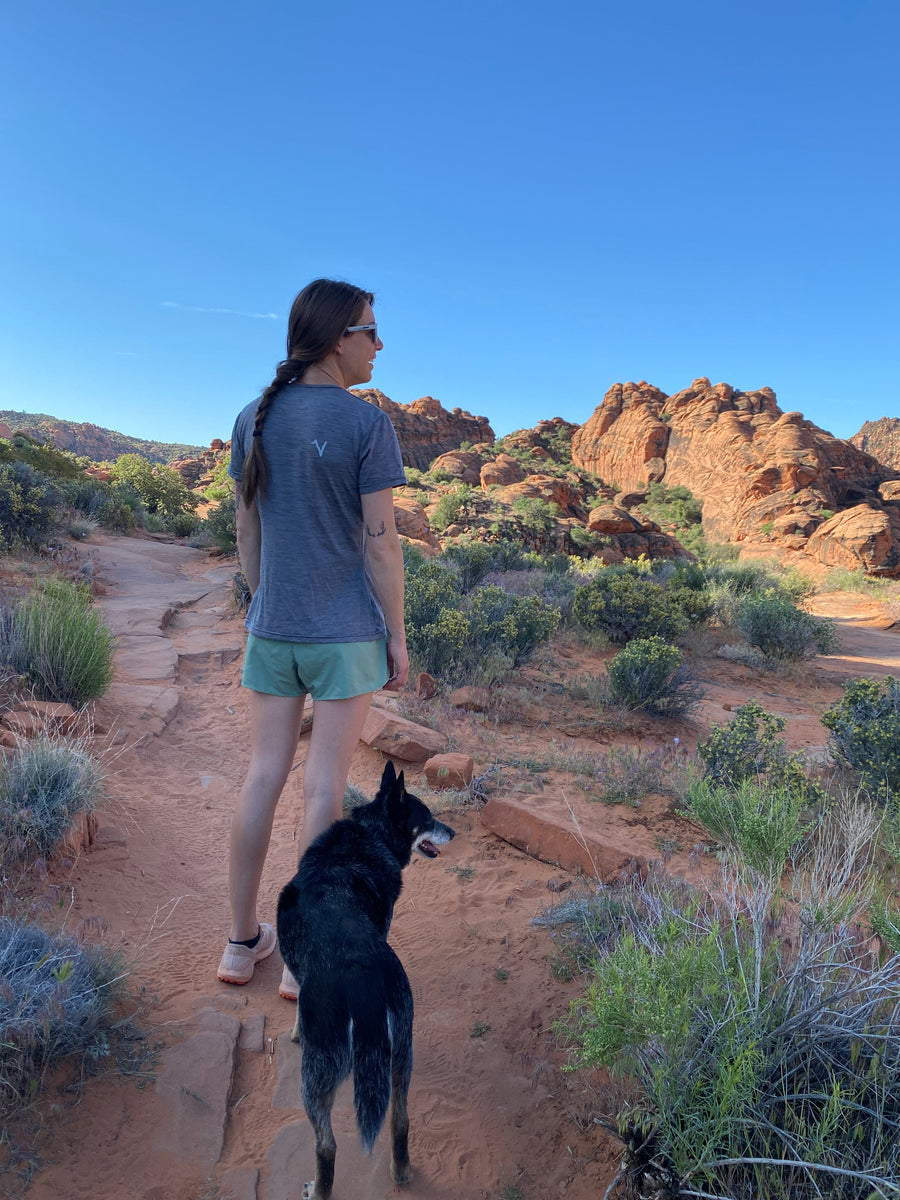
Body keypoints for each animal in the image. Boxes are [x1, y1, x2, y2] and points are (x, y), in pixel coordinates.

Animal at [277, 763, 458, 1195]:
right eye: (427, 818)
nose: (454, 832)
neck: (369, 834)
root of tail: (365, 983)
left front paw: (295, 1029)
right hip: (402, 1055)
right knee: (400, 1120)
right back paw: (402, 1173)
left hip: (316, 1077)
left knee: (326, 1146)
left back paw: (317, 1191)